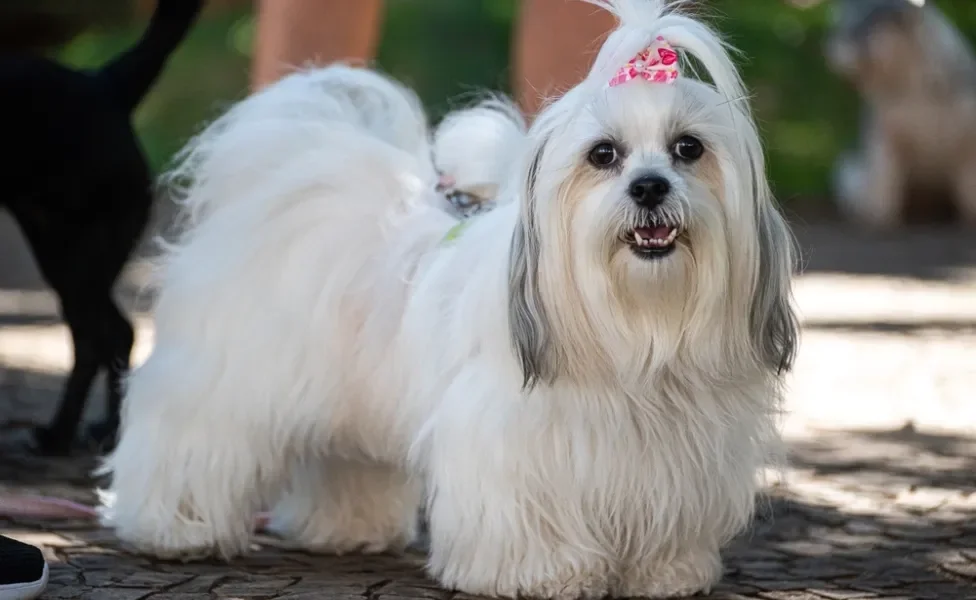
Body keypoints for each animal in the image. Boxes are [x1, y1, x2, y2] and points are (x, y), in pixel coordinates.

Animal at [103, 0, 796, 596]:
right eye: (604, 155)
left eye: (689, 148)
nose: (650, 186)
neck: (636, 325)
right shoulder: (512, 440)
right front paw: (541, 574)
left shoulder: (682, 453)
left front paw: (665, 572)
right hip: (225, 379)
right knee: (187, 438)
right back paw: (173, 527)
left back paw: (348, 529)